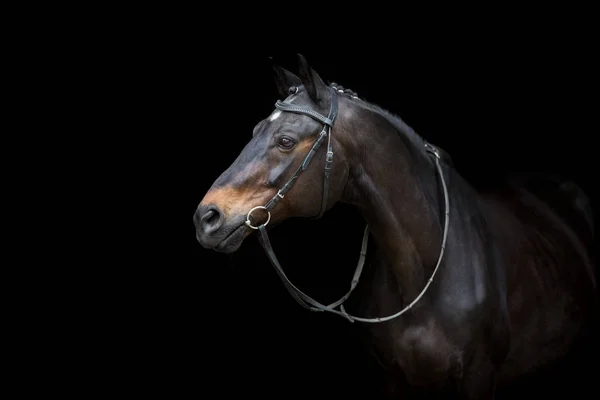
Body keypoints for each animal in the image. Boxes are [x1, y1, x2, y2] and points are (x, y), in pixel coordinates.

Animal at [195, 54, 596, 398]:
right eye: (255, 130)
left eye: (285, 141)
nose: (206, 217)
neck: (427, 270)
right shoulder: (394, 380)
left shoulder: (479, 378)